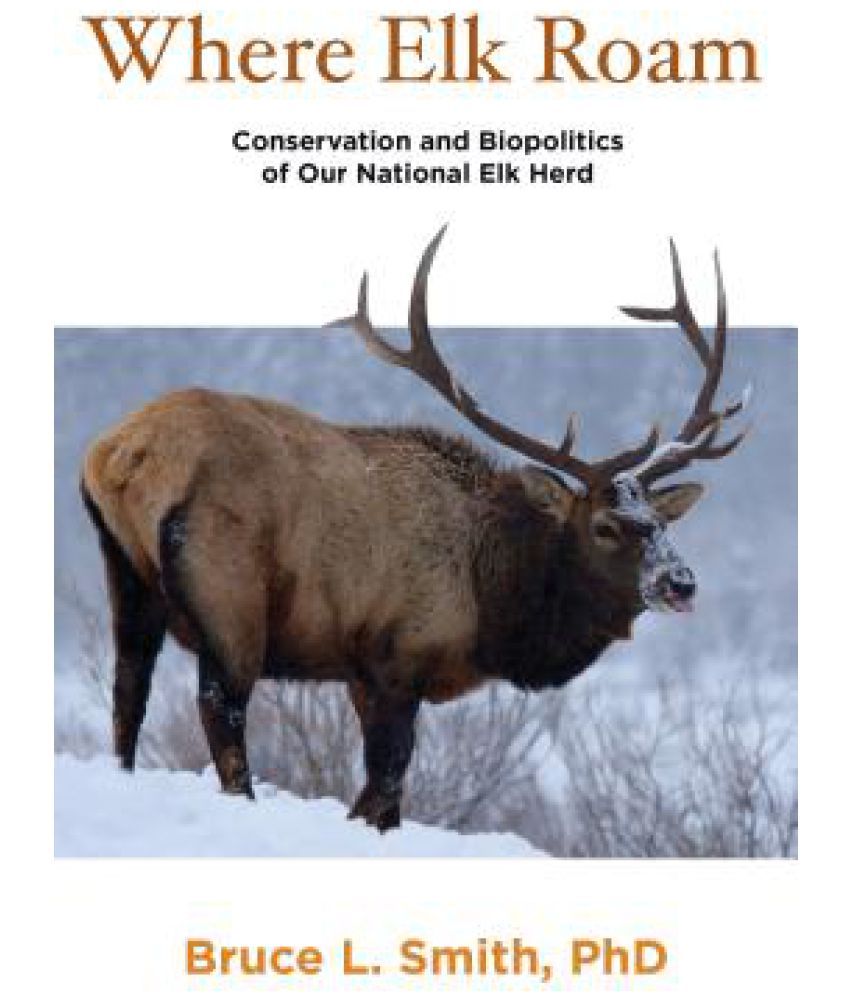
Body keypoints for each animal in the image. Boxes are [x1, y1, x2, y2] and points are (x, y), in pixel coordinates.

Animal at [81, 229, 748, 831]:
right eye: (606, 527)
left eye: (659, 521)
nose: (681, 582)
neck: (491, 603)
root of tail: (122, 454)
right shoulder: (399, 655)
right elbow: (384, 783)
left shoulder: (360, 674)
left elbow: (389, 797)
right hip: (229, 591)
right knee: (221, 710)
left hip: (125, 574)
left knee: (128, 690)